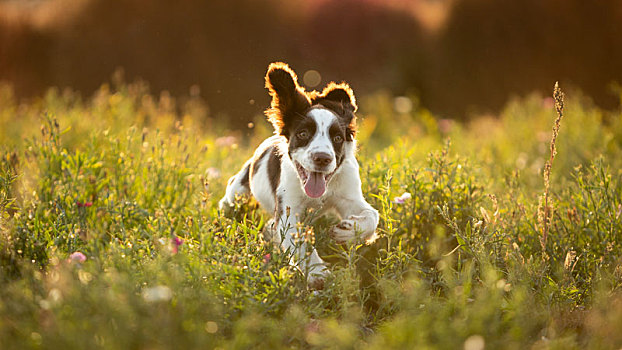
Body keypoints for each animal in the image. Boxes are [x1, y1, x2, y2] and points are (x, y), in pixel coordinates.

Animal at [221, 63, 380, 288]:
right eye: (303, 134)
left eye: (337, 138)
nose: (322, 158)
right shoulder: (288, 209)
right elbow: (300, 241)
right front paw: (318, 273)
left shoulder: (349, 195)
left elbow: (372, 215)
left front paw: (349, 231)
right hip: (238, 193)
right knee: (231, 195)